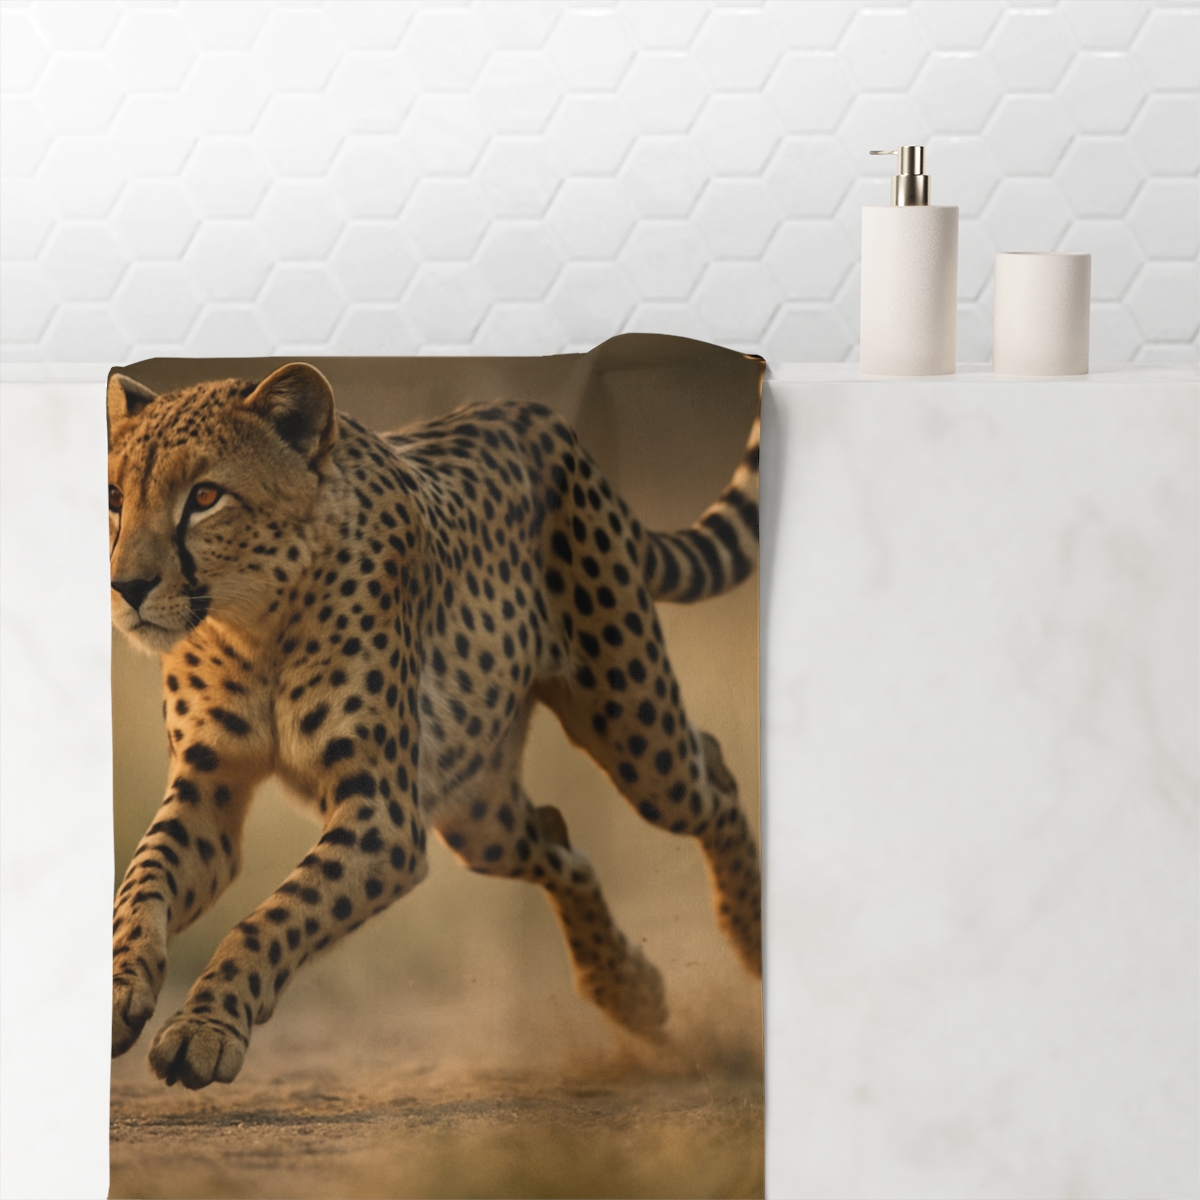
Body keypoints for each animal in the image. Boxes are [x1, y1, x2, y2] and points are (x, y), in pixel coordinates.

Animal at [108, 361, 762, 1090]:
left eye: (205, 497)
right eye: (114, 497)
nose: (126, 587)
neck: (251, 626)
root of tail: (538, 416)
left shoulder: (385, 818)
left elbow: (275, 917)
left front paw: (205, 1028)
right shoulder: (208, 788)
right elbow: (142, 877)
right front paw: (119, 987)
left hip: (637, 737)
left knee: (713, 776)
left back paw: (746, 931)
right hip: (476, 812)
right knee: (559, 840)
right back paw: (626, 987)